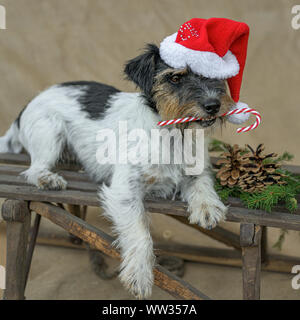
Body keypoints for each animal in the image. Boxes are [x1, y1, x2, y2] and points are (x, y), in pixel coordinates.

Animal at [0, 44, 232, 298]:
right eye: (175, 77)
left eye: (213, 73)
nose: (213, 105)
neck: (173, 133)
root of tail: (26, 107)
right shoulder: (124, 191)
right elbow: (140, 231)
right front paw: (139, 273)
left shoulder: (196, 167)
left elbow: (202, 182)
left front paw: (207, 207)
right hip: (49, 134)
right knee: (34, 169)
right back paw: (47, 178)